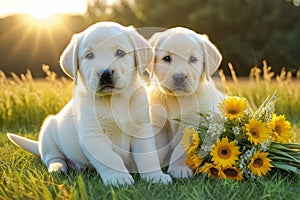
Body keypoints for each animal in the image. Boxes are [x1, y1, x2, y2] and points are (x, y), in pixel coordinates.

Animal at [6, 21, 171, 186]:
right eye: (89, 55)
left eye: (120, 52)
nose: (105, 73)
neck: (113, 100)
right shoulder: (92, 134)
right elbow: (110, 158)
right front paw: (118, 177)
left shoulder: (141, 129)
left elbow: (148, 156)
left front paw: (155, 176)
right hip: (48, 131)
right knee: (51, 156)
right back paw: (58, 167)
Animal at [149, 27, 224, 179]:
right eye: (167, 58)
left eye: (193, 59)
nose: (179, 77)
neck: (177, 99)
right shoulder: (158, 124)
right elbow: (156, 147)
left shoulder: (192, 125)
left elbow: (180, 150)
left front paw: (179, 168)